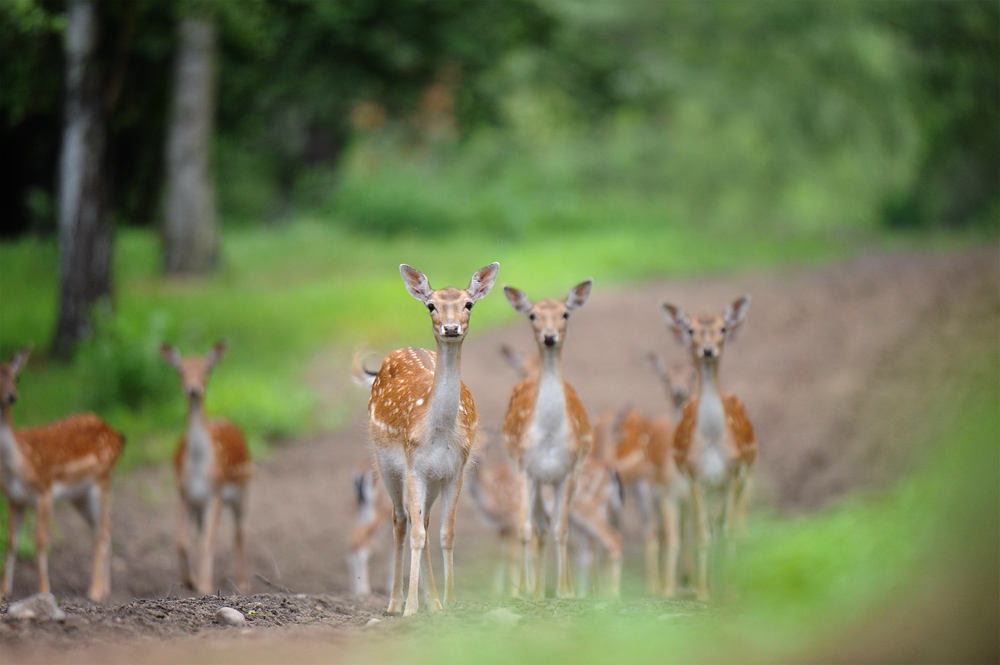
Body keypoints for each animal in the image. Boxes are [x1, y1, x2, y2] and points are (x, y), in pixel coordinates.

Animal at [0, 344, 124, 600]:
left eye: (17, 377)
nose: (11, 396)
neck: (17, 463)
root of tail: (119, 435)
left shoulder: (44, 490)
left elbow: (40, 541)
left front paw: (44, 590)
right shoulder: (13, 498)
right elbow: (11, 542)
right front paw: (4, 591)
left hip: (103, 479)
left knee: (101, 529)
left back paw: (94, 591)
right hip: (79, 495)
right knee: (105, 525)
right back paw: (105, 589)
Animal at [160, 340, 252, 592]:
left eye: (207, 369)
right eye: (180, 370)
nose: (193, 389)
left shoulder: (216, 492)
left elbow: (209, 541)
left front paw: (205, 587)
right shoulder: (182, 492)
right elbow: (182, 541)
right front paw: (191, 581)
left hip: (244, 490)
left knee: (239, 532)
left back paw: (243, 583)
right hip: (200, 505)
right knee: (198, 536)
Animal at [356, 262, 504, 616]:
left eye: (469, 303)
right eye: (431, 305)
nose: (451, 328)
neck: (438, 434)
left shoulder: (454, 470)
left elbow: (445, 533)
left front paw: (449, 603)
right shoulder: (413, 467)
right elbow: (415, 534)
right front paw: (410, 608)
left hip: (431, 479)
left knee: (421, 520)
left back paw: (432, 601)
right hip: (385, 463)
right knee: (400, 521)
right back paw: (395, 602)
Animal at [500, 278, 592, 600]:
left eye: (565, 313)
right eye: (532, 315)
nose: (549, 337)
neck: (550, 437)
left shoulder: (569, 471)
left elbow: (561, 530)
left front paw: (565, 591)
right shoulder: (525, 468)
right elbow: (526, 530)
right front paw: (524, 592)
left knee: (552, 526)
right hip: (529, 475)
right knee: (538, 527)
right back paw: (536, 590)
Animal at [660, 294, 752, 600]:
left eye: (723, 328)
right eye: (691, 330)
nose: (708, 350)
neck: (712, 441)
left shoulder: (735, 472)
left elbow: (729, 530)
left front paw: (731, 591)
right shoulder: (694, 477)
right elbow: (703, 534)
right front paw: (702, 592)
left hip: (745, 477)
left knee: (736, 523)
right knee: (711, 525)